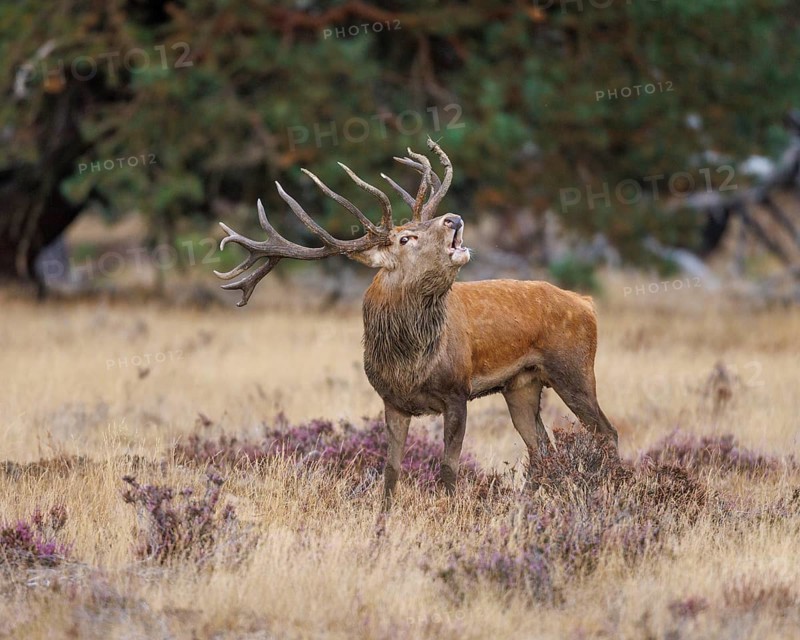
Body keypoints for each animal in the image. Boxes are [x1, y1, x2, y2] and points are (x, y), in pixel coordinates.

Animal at [215, 138, 618, 507]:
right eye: (406, 237)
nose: (453, 218)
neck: (410, 363)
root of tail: (587, 303)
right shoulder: (390, 400)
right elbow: (391, 469)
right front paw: (385, 514)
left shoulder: (457, 392)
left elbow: (448, 467)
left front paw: (449, 511)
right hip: (521, 385)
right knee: (541, 447)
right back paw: (527, 503)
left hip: (574, 368)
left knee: (605, 433)